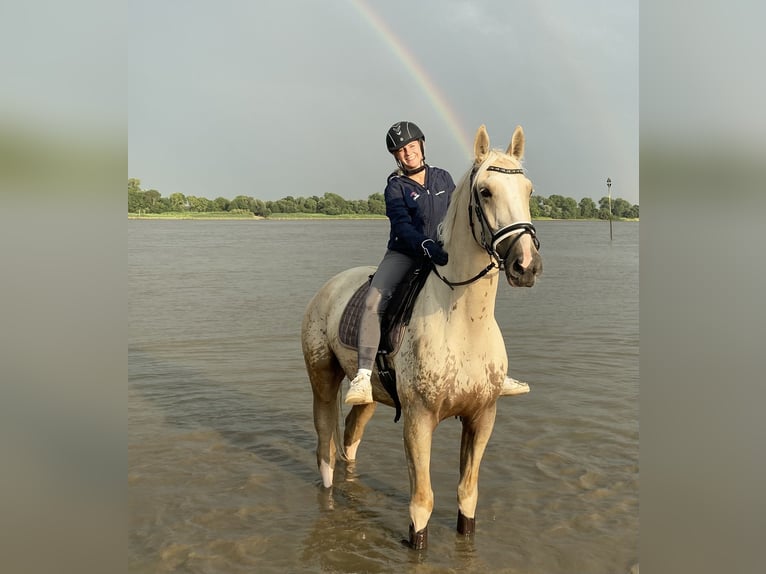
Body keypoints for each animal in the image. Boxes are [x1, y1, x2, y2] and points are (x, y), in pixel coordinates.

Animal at [304, 125, 544, 548]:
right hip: (322, 380)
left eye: (528, 190)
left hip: (371, 398)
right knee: (325, 450)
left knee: (350, 438)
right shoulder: (419, 420)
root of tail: (329, 287)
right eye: (486, 191)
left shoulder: (482, 418)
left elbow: (467, 496)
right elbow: (422, 505)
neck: (464, 323)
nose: (526, 266)